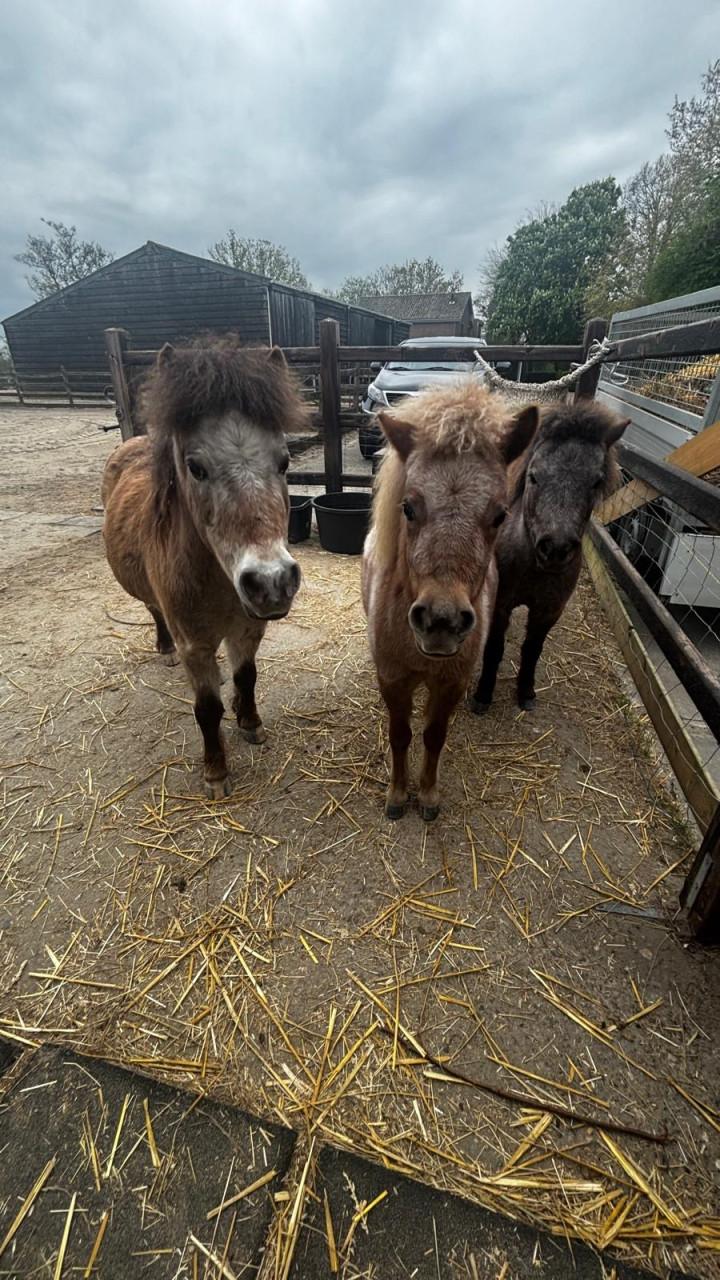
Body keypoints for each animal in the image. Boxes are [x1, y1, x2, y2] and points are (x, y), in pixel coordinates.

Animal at [102, 336, 309, 798]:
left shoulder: (249, 628)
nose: (271, 582)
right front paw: (216, 771)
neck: (218, 583)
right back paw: (164, 649)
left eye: (284, 461)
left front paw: (250, 722)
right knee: (154, 612)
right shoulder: (195, 645)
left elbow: (247, 677)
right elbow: (207, 709)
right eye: (195, 467)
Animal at [362, 382, 538, 821]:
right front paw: (397, 795)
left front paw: (426, 795)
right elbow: (400, 735)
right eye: (408, 507)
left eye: (499, 515)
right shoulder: (393, 681)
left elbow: (433, 736)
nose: (441, 621)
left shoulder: (450, 684)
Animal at [469, 399, 629, 715]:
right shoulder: (501, 605)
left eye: (596, 482)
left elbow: (532, 650)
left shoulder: (549, 610)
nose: (556, 549)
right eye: (534, 475)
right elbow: (494, 648)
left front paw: (526, 692)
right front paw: (483, 694)